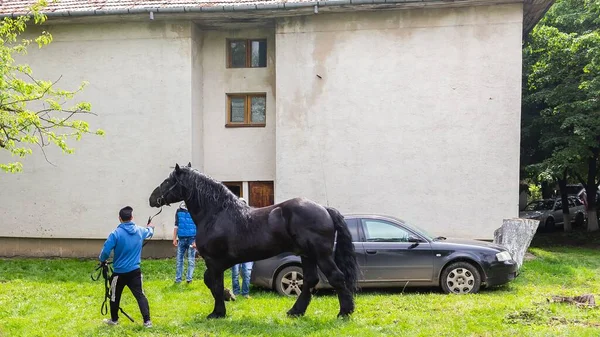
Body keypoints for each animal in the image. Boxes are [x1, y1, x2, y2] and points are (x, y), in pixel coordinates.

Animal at [150, 163, 358, 318]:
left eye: (168, 180)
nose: (152, 198)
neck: (216, 214)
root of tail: (324, 209)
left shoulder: (214, 261)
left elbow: (215, 284)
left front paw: (218, 312)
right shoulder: (219, 263)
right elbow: (210, 282)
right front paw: (227, 297)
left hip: (321, 255)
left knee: (336, 277)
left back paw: (344, 312)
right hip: (307, 255)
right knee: (310, 281)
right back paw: (295, 311)